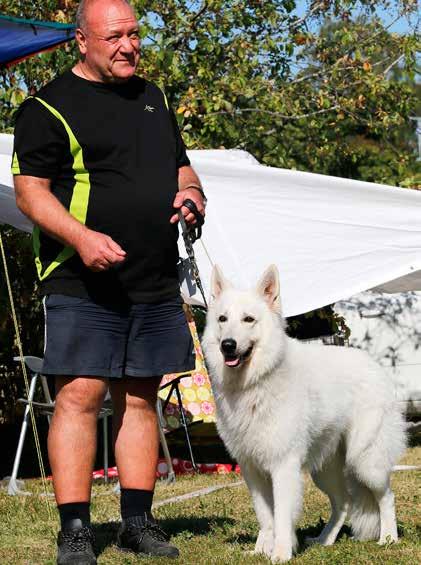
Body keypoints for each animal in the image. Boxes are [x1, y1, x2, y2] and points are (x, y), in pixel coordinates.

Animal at [202, 266, 406, 564]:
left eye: (248, 319)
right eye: (222, 319)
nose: (228, 345)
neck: (257, 380)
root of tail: (374, 364)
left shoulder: (283, 467)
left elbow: (281, 516)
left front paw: (281, 552)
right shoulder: (252, 471)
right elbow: (266, 516)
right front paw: (261, 550)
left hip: (366, 462)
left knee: (386, 496)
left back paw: (389, 538)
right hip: (324, 471)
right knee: (343, 503)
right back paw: (324, 540)